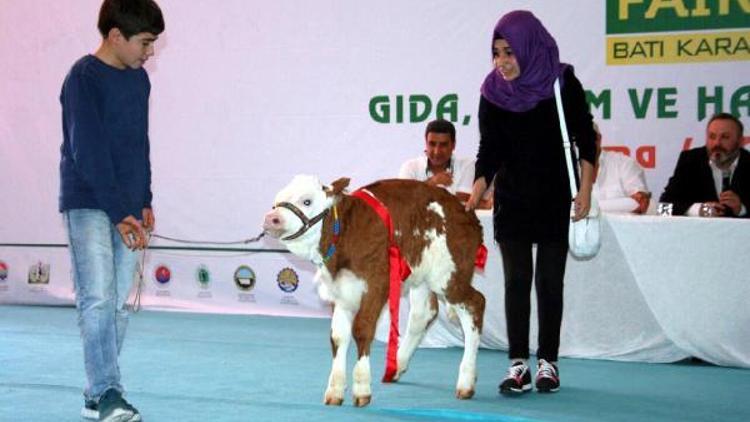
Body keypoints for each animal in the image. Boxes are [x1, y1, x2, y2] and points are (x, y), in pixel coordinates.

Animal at [264, 174, 488, 406]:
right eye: (277, 200)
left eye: (307, 201)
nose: (271, 218)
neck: (345, 231)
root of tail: (464, 210)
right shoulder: (340, 291)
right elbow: (338, 336)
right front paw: (335, 390)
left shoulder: (376, 284)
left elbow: (362, 330)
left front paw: (362, 387)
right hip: (421, 276)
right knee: (423, 314)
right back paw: (397, 367)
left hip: (448, 275)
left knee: (475, 304)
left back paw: (466, 382)